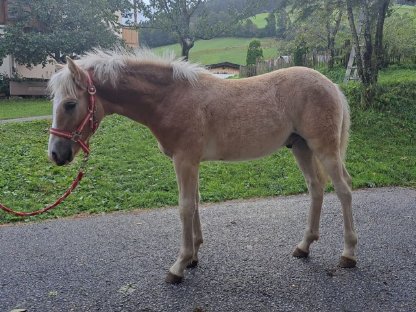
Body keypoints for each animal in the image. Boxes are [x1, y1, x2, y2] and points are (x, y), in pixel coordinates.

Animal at [46, 48, 358, 282]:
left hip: (324, 149)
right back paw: (304, 246)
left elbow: (185, 207)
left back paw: (348, 254)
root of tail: (332, 85)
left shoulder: (185, 161)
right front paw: (194, 256)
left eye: (70, 104)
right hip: (301, 147)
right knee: (316, 188)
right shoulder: (191, 162)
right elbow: (195, 203)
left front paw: (179, 265)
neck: (171, 98)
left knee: (343, 189)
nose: (56, 154)